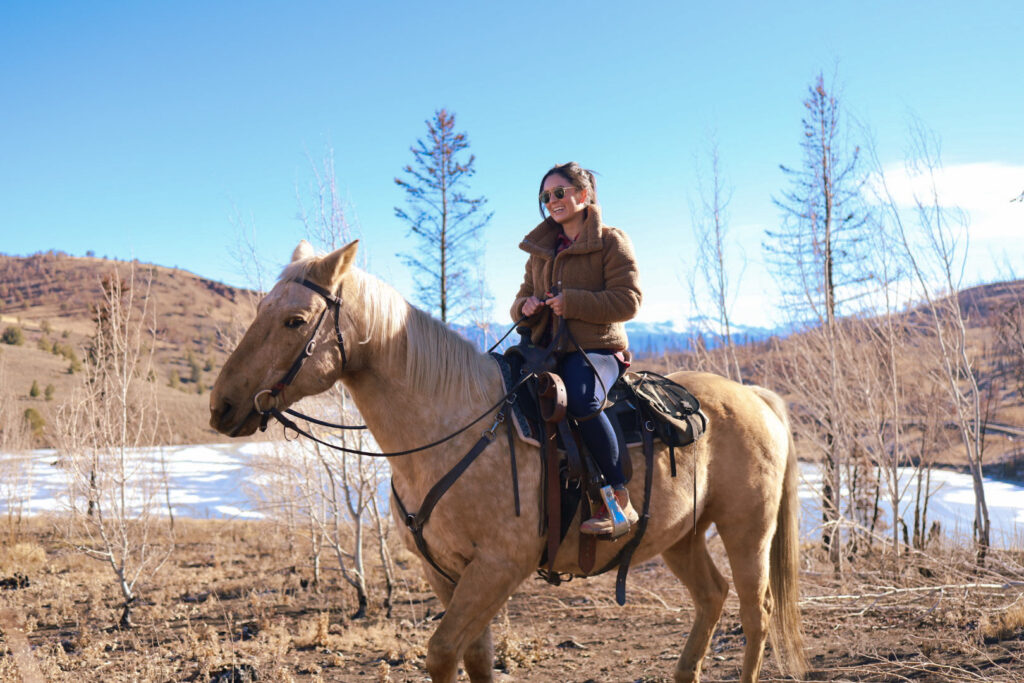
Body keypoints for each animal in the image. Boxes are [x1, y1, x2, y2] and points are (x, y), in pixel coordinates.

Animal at [207, 241, 802, 683]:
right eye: (259, 312)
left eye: (294, 320)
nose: (222, 406)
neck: (451, 425)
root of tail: (755, 396)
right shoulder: (446, 569)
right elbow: (474, 657)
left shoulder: (499, 567)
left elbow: (443, 652)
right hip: (681, 536)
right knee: (712, 596)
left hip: (747, 529)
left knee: (756, 613)